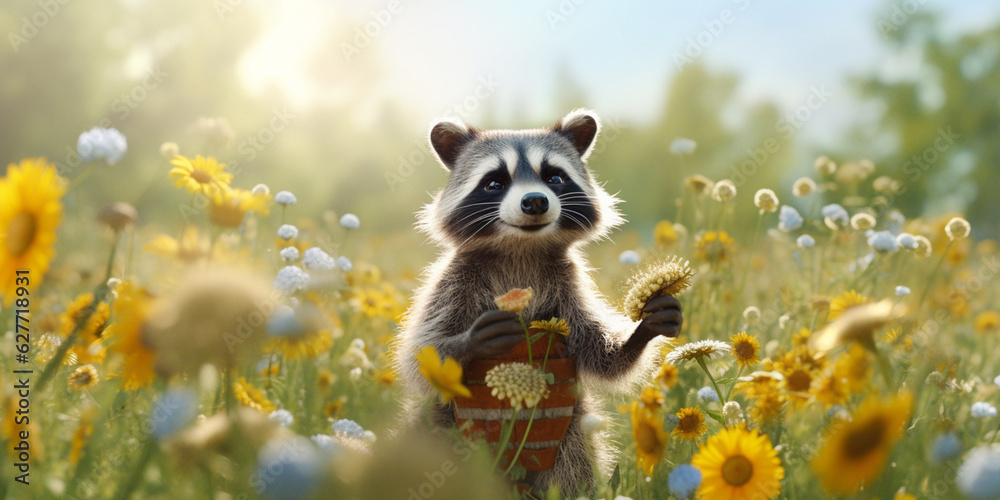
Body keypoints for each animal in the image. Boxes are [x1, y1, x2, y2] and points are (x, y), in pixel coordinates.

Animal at [395, 109, 683, 494]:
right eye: (494, 182)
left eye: (554, 177)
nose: (535, 201)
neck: (521, 248)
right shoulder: (452, 283)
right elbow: (423, 357)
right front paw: (472, 339)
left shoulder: (568, 284)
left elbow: (601, 354)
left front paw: (641, 330)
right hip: (444, 428)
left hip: (570, 433)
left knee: (572, 474)